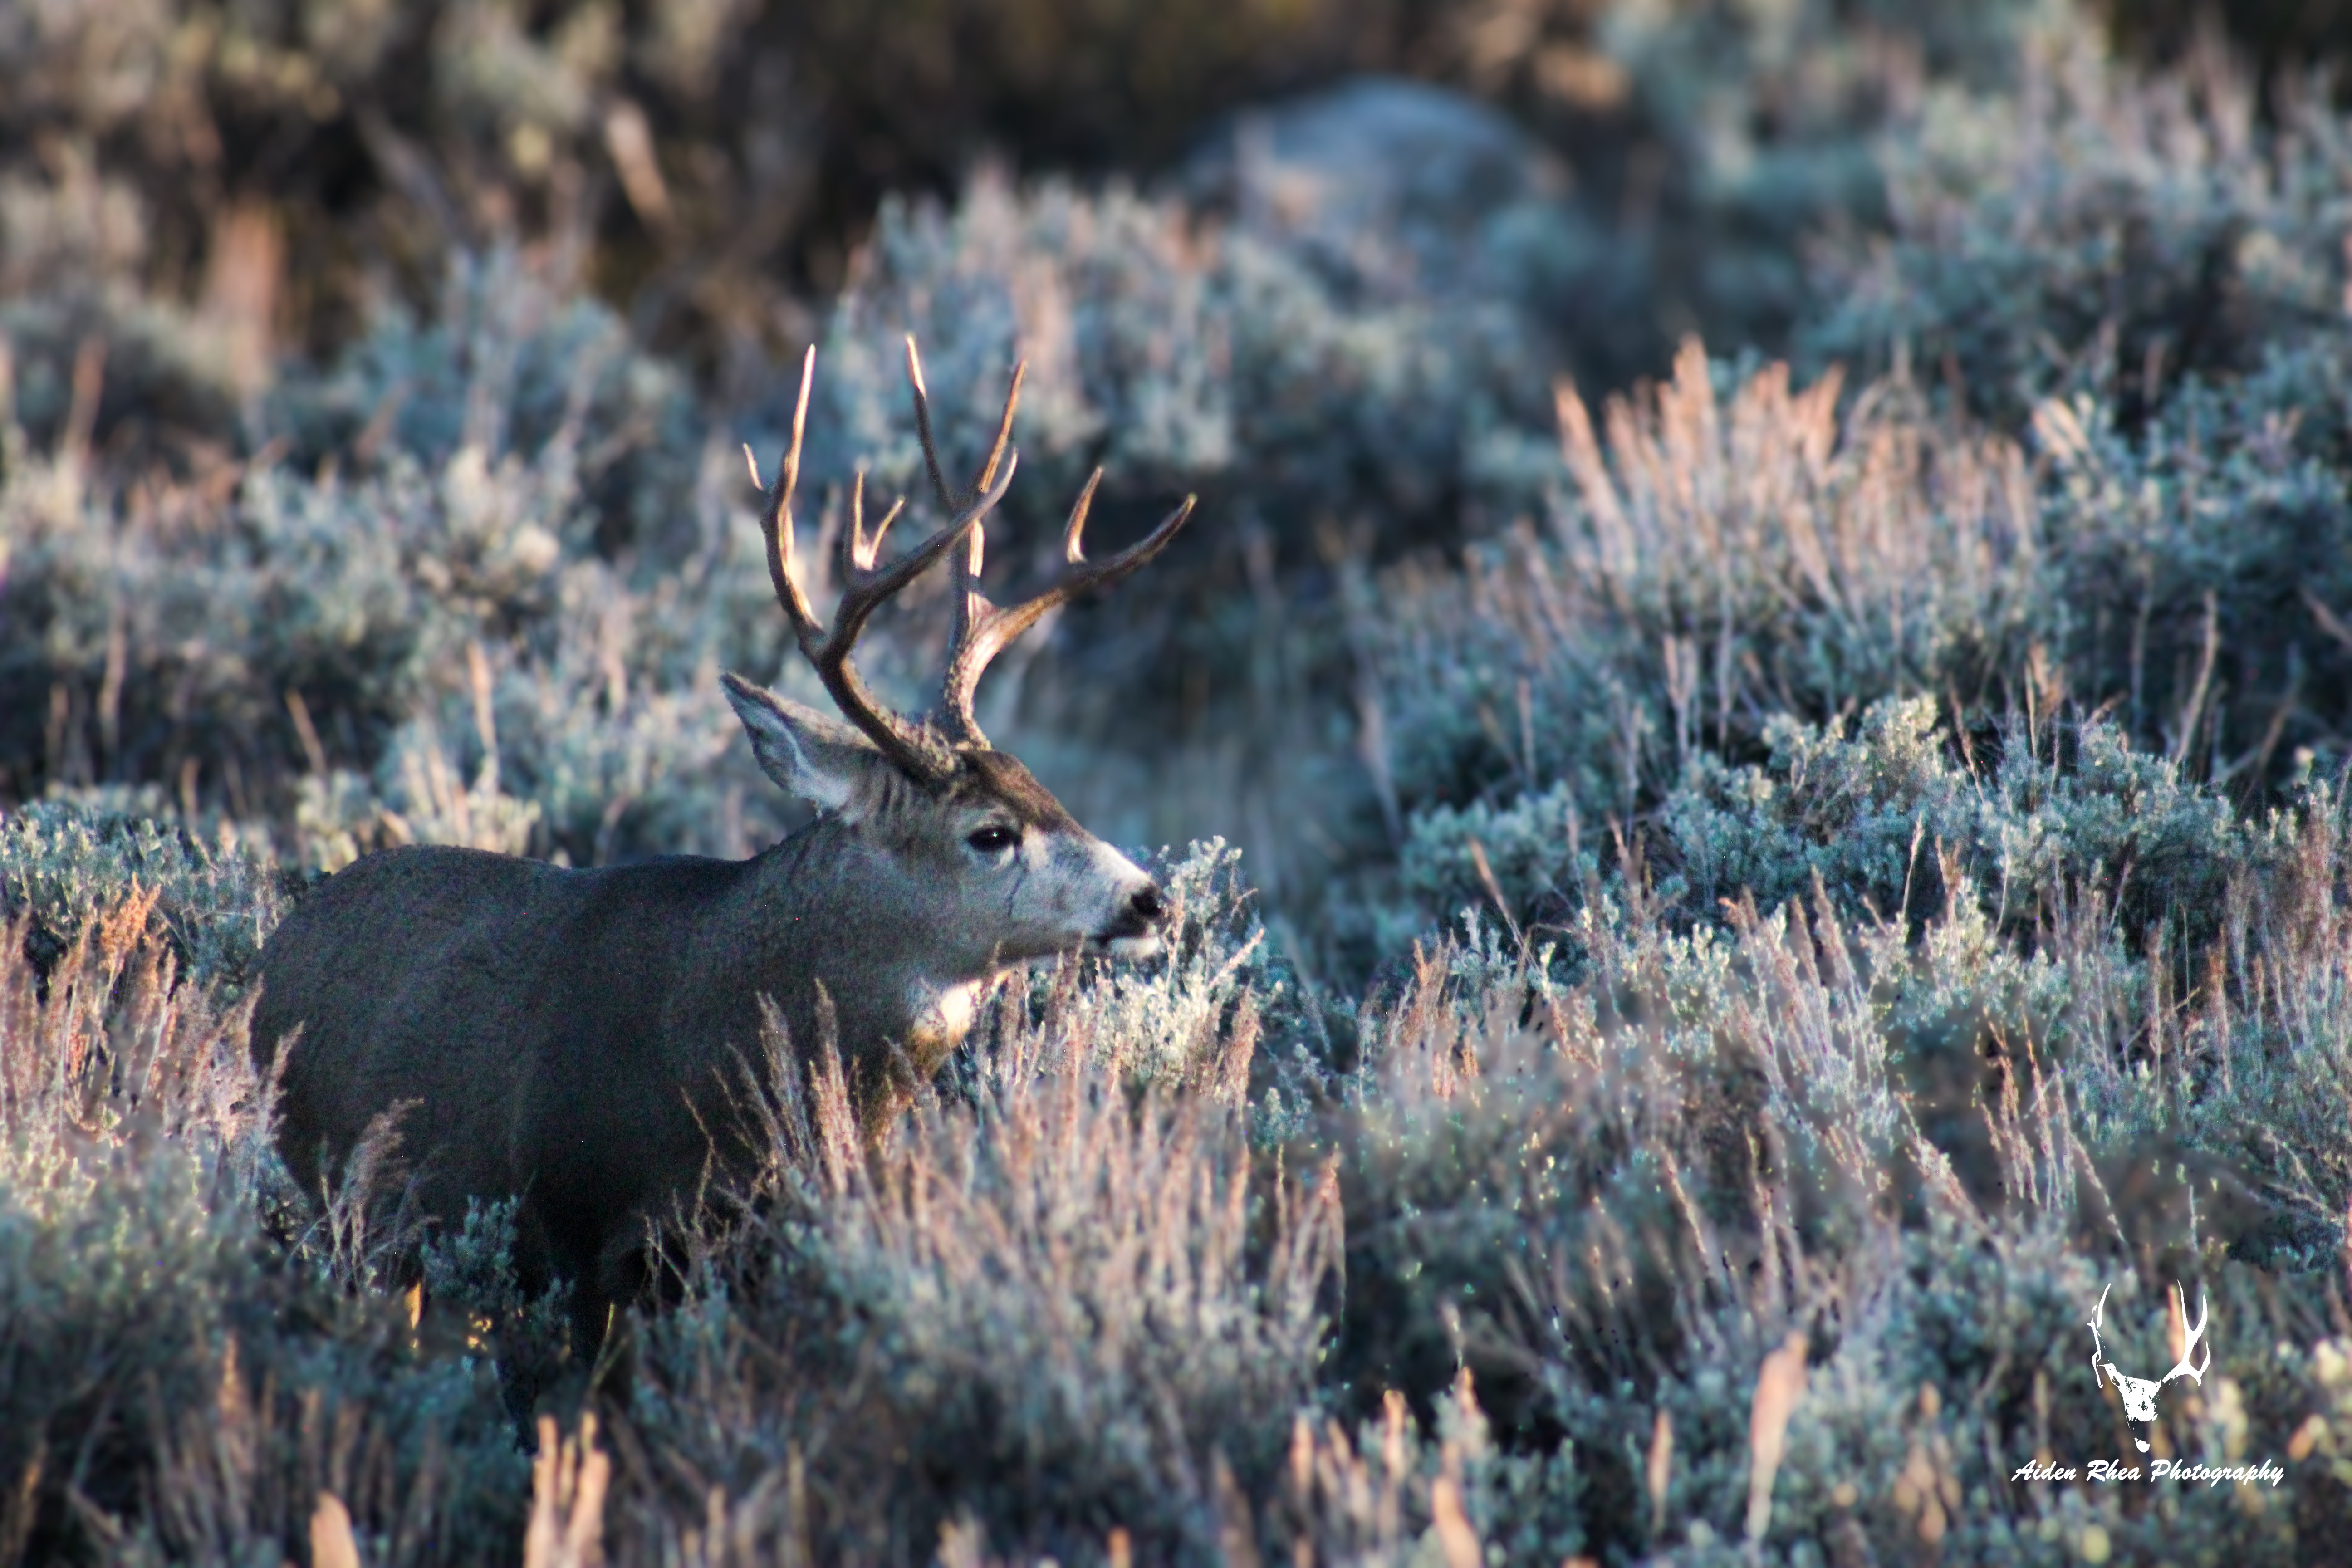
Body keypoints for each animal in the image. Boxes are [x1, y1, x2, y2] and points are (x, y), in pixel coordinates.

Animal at [253, 338, 1195, 1370]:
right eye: (990, 833)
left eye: (1045, 788)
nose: (1152, 900)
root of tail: (284, 937)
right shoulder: (580, 1230)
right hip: (341, 1197)